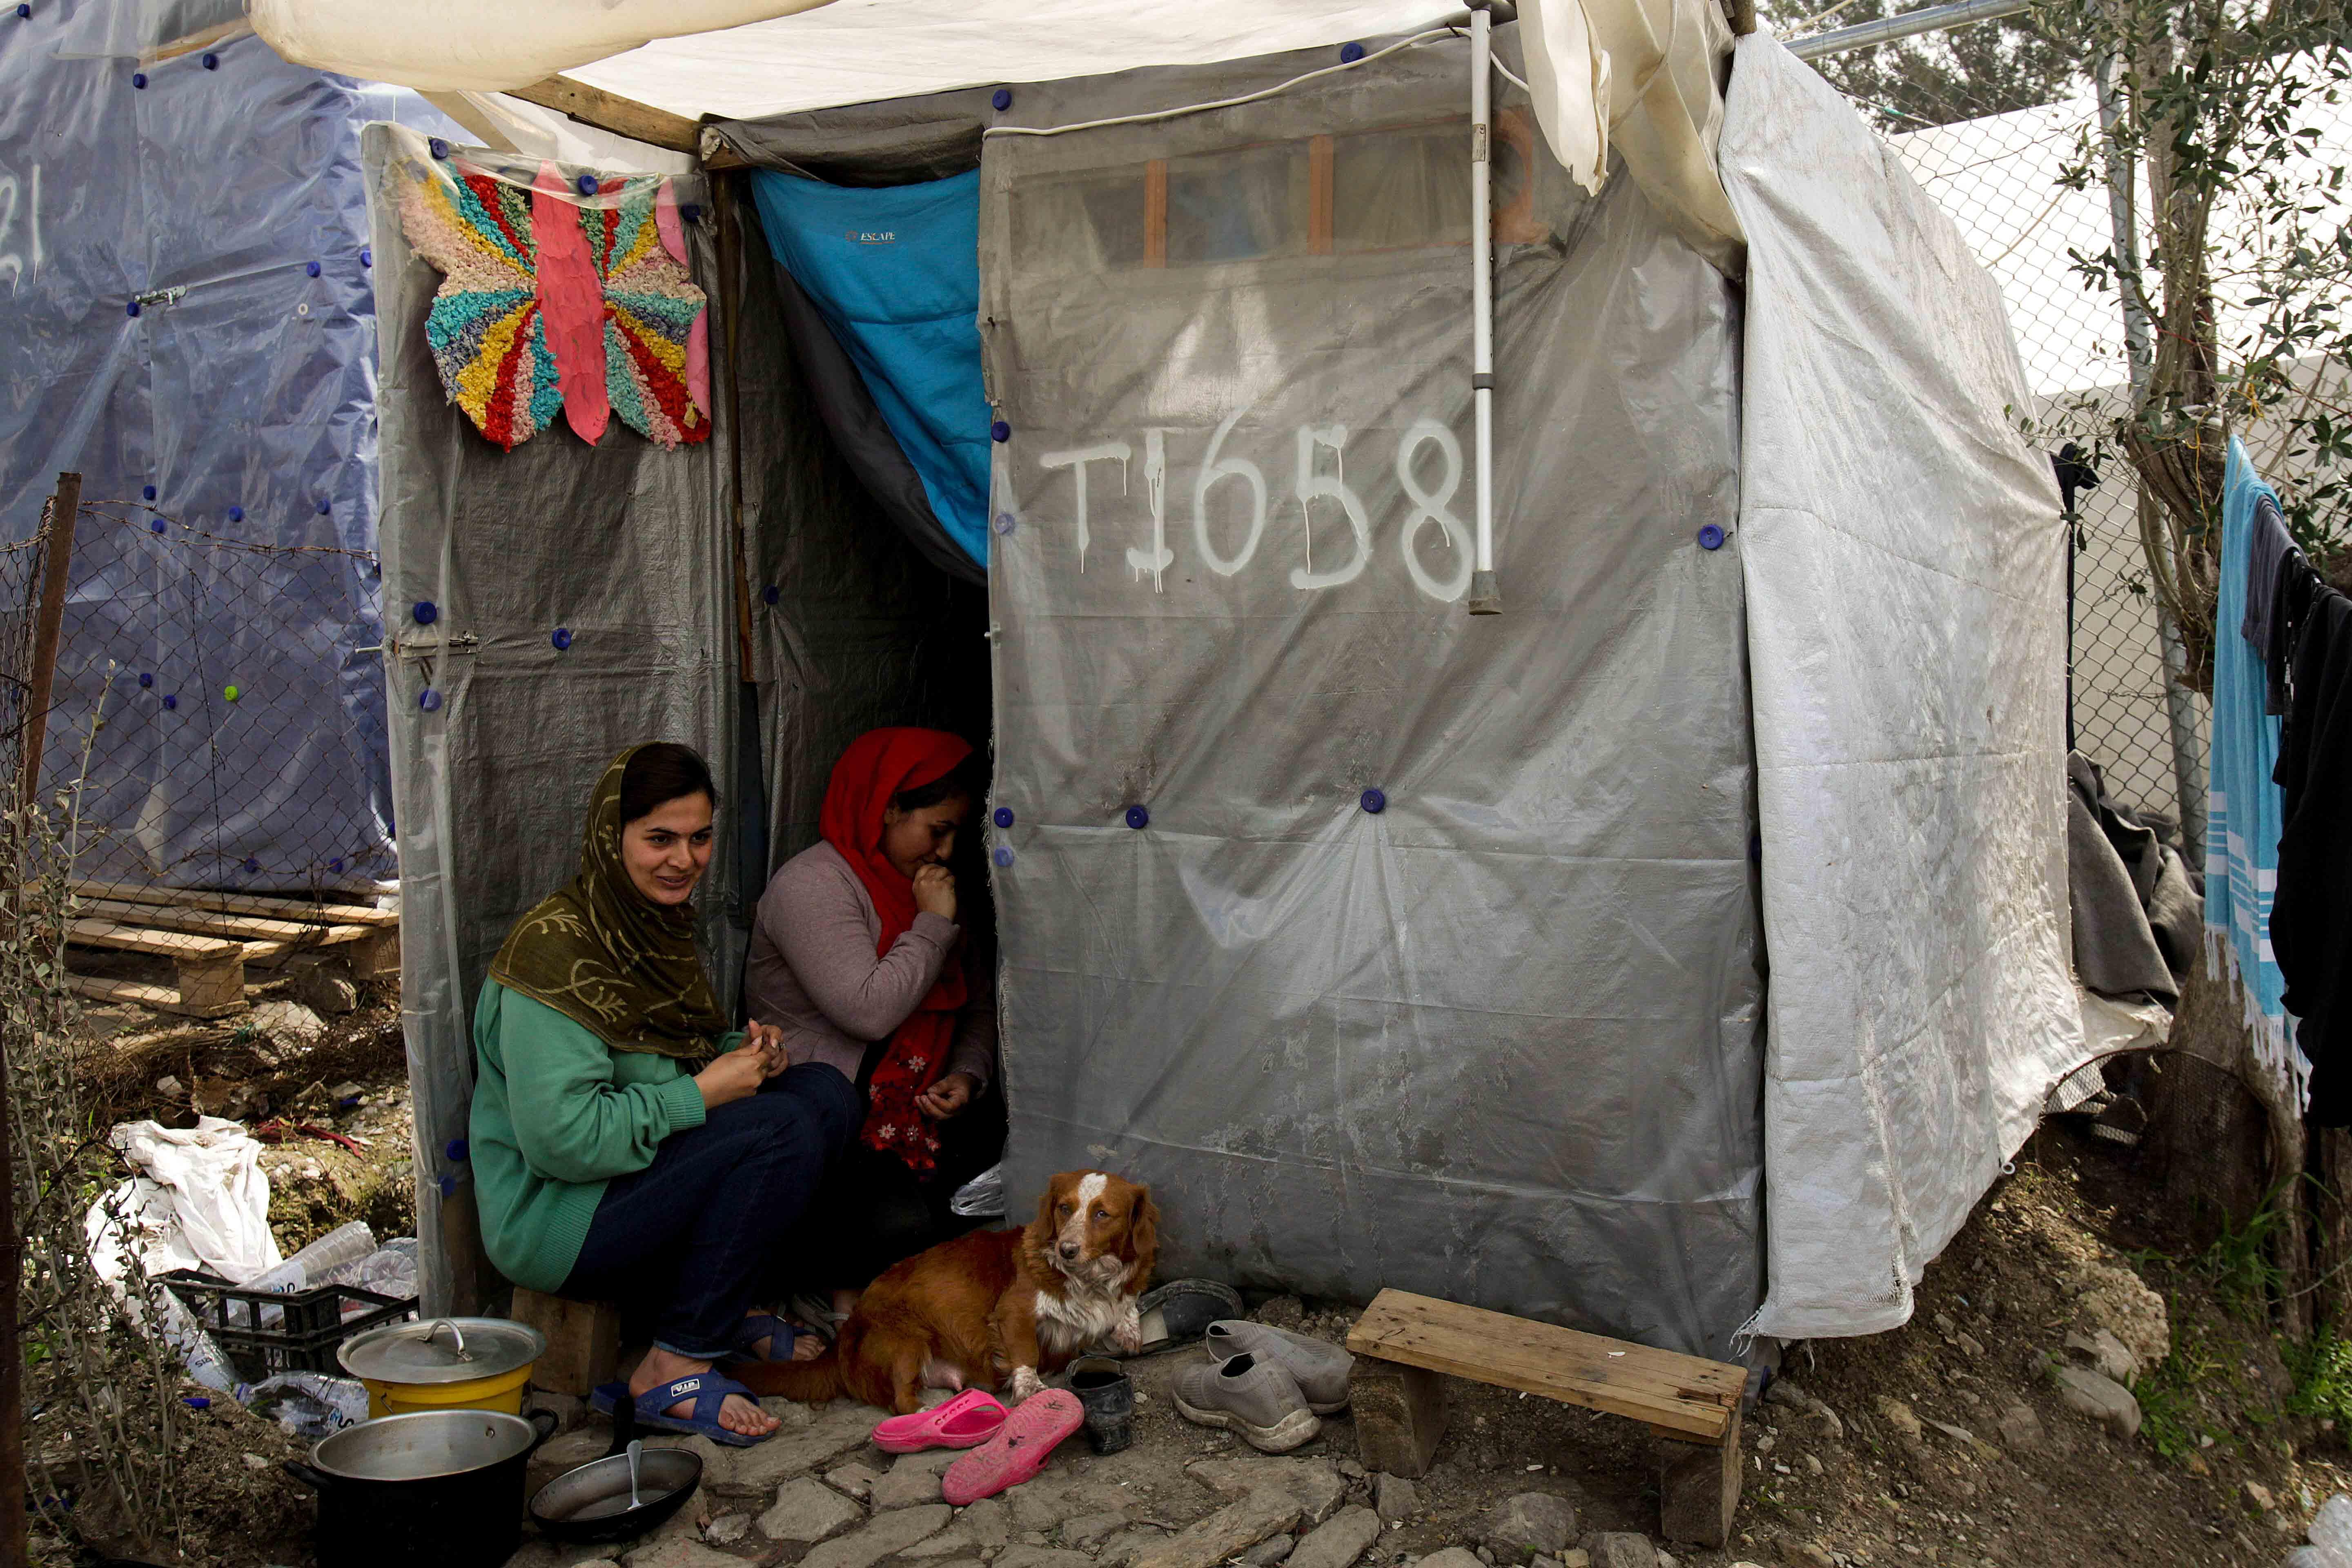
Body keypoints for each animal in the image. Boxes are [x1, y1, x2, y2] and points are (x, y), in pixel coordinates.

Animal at [743, 1171, 1157, 1420]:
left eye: (1102, 1214)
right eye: (1064, 1208)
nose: (1067, 1250)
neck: (1086, 1280)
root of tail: (843, 1339)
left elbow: (1127, 1307)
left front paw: (1129, 1329)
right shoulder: (1013, 1312)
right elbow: (1026, 1353)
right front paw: (1031, 1389)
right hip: (906, 1341)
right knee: (901, 1402)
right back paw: (927, 1417)